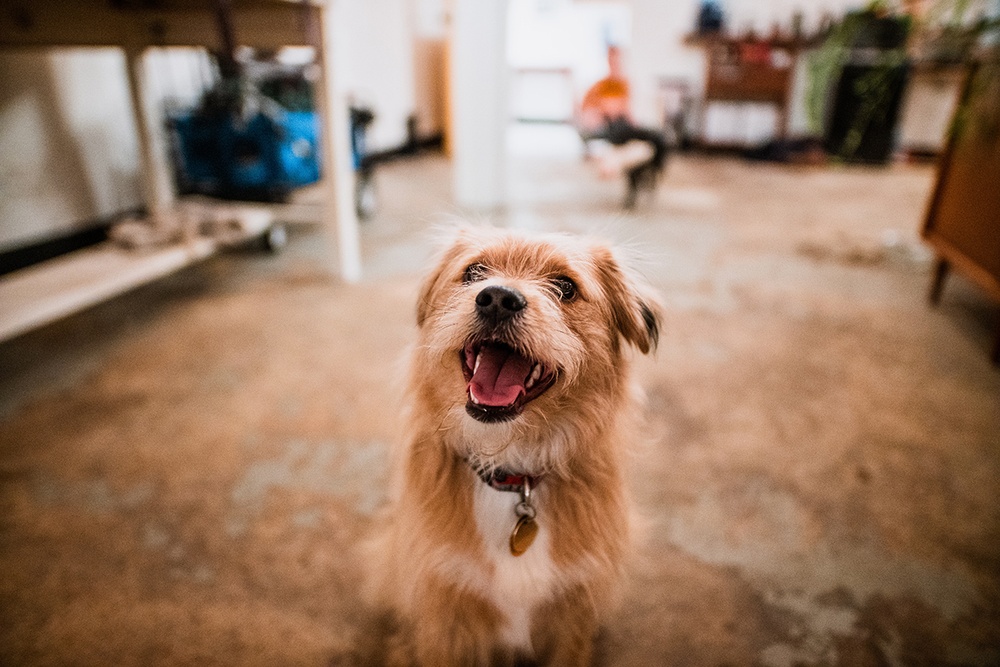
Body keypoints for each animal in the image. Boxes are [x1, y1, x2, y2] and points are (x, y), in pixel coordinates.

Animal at [378, 227, 660, 664]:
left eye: (565, 287)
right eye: (474, 272)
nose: (497, 298)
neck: (513, 471)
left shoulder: (575, 617)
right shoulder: (443, 618)